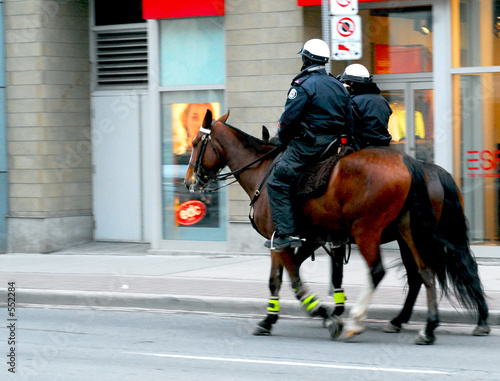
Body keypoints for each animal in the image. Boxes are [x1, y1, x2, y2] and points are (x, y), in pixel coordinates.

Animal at [186, 110, 490, 344]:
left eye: (195, 142)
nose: (190, 181)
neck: (263, 171)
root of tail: (410, 162)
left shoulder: (284, 239)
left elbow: (294, 280)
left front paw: (325, 315)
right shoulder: (300, 239)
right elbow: (281, 279)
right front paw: (271, 320)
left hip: (369, 230)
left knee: (383, 272)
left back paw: (360, 322)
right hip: (409, 231)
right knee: (427, 271)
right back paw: (430, 327)